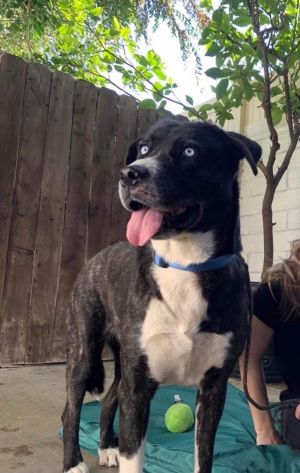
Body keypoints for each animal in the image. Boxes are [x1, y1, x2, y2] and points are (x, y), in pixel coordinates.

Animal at [62, 118, 262, 472]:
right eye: (144, 148)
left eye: (190, 151)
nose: (129, 174)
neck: (186, 264)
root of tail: (94, 259)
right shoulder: (139, 387)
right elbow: (133, 457)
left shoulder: (214, 388)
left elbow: (204, 456)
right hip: (84, 351)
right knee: (71, 407)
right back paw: (74, 462)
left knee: (110, 397)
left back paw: (106, 447)